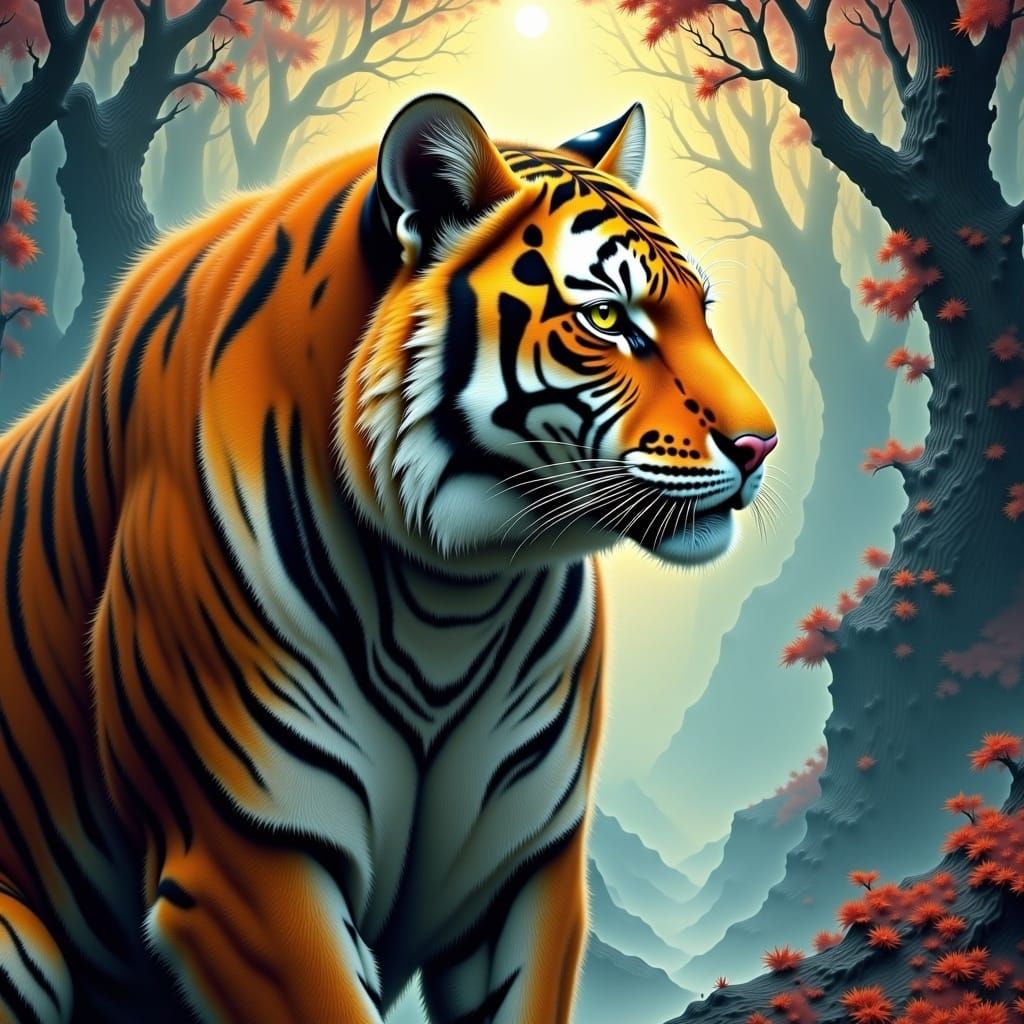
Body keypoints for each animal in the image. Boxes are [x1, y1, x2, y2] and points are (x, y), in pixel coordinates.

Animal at [0, 94, 776, 1023]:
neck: (451, 593)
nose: (762, 444)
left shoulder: (524, 868)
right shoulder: (247, 858)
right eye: (607, 319)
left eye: (704, 310)